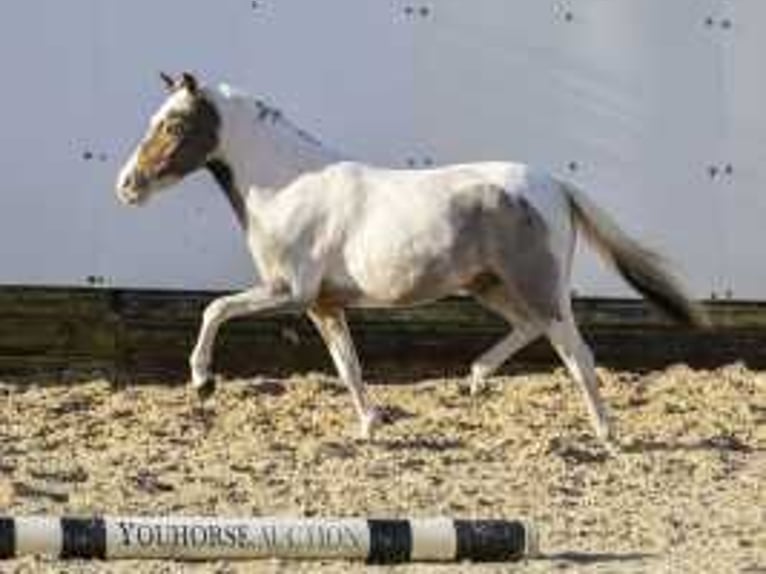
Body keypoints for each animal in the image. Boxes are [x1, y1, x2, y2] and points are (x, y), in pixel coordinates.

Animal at [115, 72, 708, 448]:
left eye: (173, 124)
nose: (126, 186)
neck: (289, 188)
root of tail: (555, 186)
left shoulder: (290, 292)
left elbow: (214, 308)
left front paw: (202, 382)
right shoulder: (324, 305)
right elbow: (347, 366)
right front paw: (369, 427)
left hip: (536, 287)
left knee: (577, 354)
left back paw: (607, 436)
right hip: (488, 285)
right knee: (528, 329)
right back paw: (475, 379)